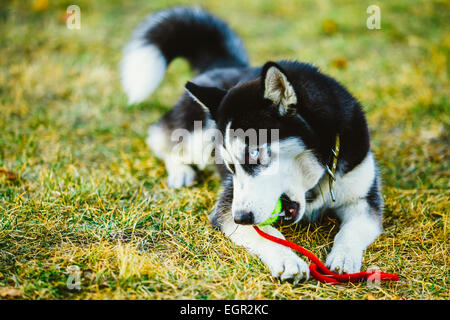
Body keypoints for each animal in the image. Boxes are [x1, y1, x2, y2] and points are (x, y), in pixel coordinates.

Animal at [120, 6, 384, 282]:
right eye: (230, 167)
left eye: (255, 153)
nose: (241, 218)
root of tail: (228, 65)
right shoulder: (226, 208)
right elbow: (269, 235)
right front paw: (288, 259)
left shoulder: (364, 199)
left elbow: (352, 230)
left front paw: (344, 257)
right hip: (197, 137)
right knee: (163, 140)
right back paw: (180, 171)